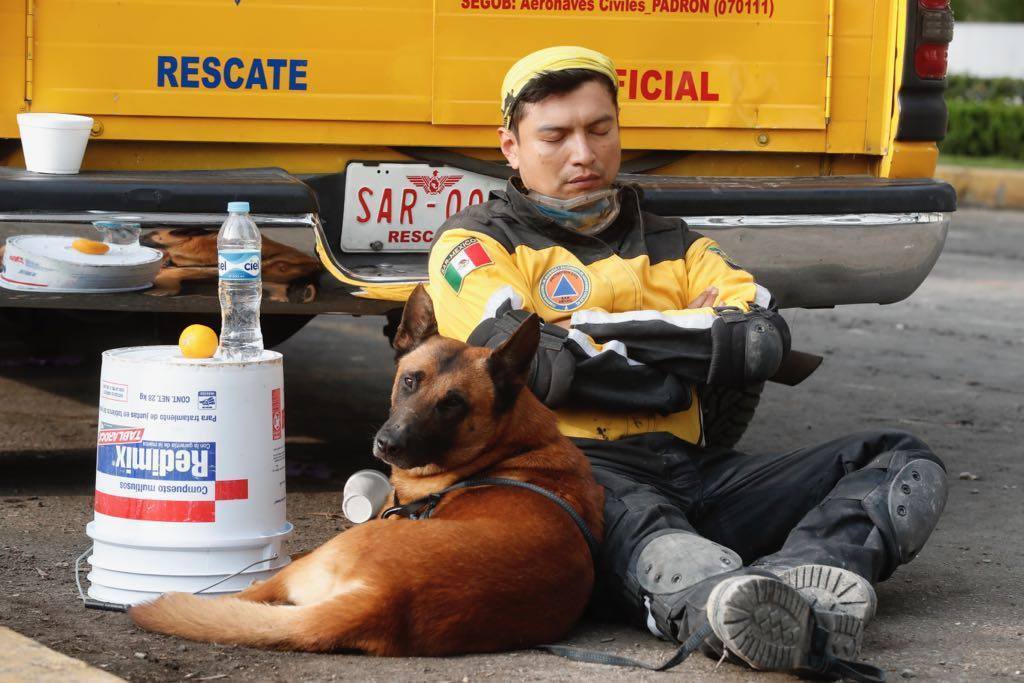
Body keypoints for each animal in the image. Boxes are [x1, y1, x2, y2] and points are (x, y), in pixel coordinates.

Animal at [131, 284, 602, 655]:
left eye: (453, 404)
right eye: (410, 380)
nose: (387, 444)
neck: (508, 449)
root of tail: (382, 600)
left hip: (329, 550)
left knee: (257, 586)